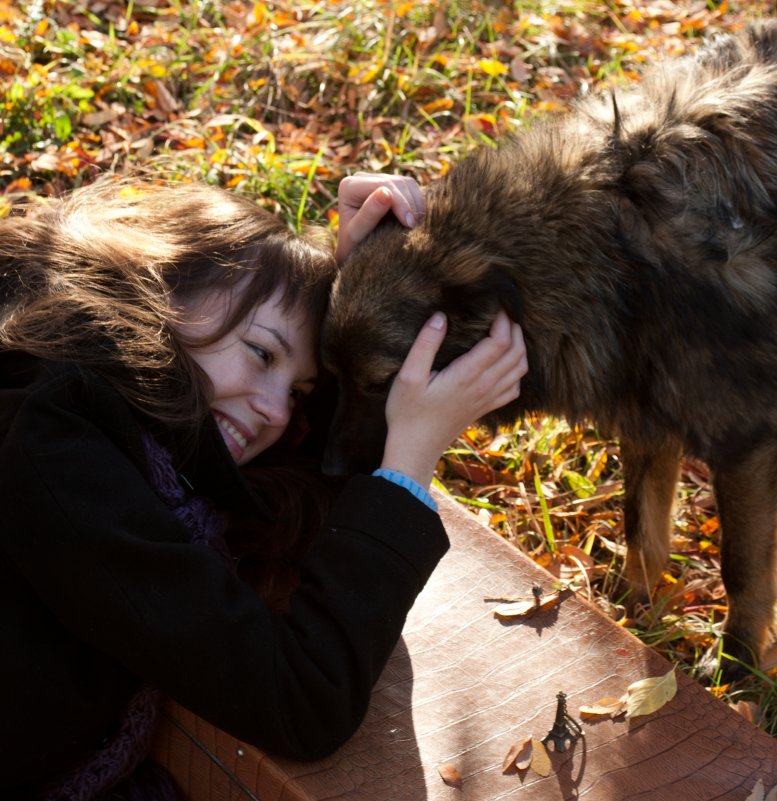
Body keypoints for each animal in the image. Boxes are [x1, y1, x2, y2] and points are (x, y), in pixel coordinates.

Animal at [322, 21, 777, 680]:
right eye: (332, 374)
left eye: (381, 383)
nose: (329, 469)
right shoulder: (648, 415)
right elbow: (642, 532)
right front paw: (635, 617)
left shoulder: (746, 445)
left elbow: (741, 572)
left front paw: (736, 669)